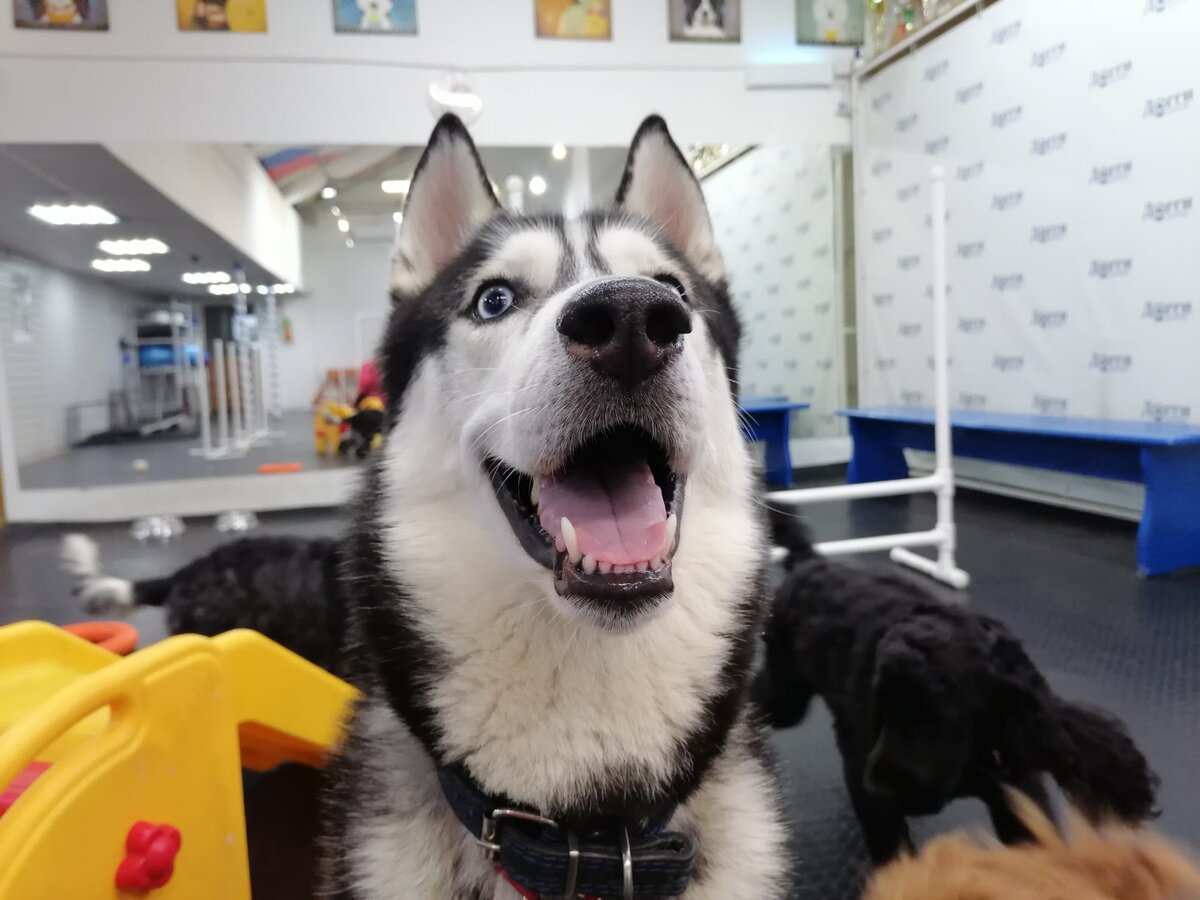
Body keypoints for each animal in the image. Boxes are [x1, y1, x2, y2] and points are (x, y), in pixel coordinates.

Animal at [753, 508, 1156, 868]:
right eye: (882, 706)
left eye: (934, 714)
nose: (880, 785)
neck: (975, 749)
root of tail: (809, 563)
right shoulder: (874, 795)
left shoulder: (1017, 789)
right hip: (786, 695)